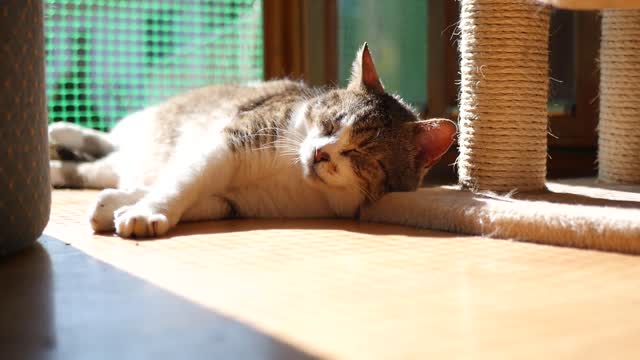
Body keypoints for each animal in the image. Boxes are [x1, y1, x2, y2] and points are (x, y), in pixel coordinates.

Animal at [48, 43, 456, 238]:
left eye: (363, 153)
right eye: (329, 122)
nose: (321, 153)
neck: (294, 173)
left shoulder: (242, 201)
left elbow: (199, 196)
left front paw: (119, 206)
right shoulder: (231, 141)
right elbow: (183, 182)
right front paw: (145, 212)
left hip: (118, 164)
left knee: (98, 166)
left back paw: (57, 166)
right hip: (146, 128)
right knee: (109, 141)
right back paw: (60, 129)